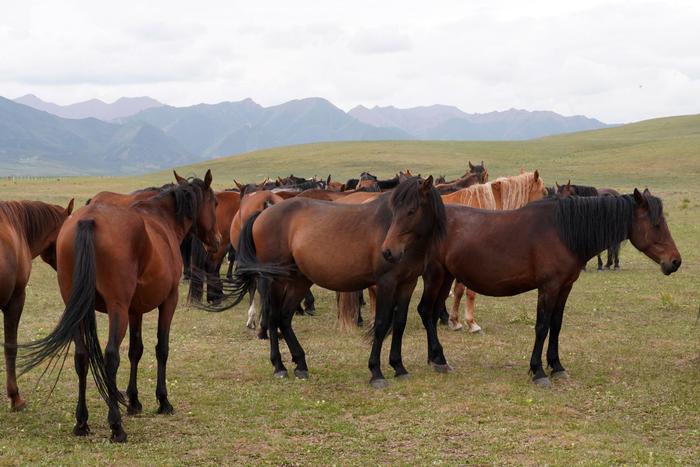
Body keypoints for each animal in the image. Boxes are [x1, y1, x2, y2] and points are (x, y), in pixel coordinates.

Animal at [18, 171, 219, 442]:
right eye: (215, 203)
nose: (217, 241)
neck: (161, 221)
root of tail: (89, 219)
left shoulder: (135, 310)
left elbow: (136, 350)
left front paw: (134, 401)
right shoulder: (168, 301)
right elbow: (161, 349)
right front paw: (163, 401)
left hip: (80, 310)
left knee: (82, 357)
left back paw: (82, 422)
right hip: (118, 310)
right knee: (111, 357)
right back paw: (116, 426)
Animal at [227, 176, 446, 388]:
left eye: (412, 211)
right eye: (394, 211)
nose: (389, 251)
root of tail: (263, 214)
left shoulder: (407, 284)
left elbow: (399, 323)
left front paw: (399, 367)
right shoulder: (386, 284)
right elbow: (382, 324)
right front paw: (376, 372)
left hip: (298, 281)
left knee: (284, 317)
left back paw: (300, 364)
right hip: (276, 281)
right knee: (273, 316)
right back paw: (279, 366)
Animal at [418, 188, 680, 386]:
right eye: (656, 225)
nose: (675, 261)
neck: (562, 231)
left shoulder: (564, 287)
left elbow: (556, 326)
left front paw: (557, 366)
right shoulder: (549, 287)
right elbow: (542, 327)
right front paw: (538, 371)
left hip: (446, 277)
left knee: (433, 312)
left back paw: (436, 358)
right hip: (435, 275)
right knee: (425, 311)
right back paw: (439, 360)